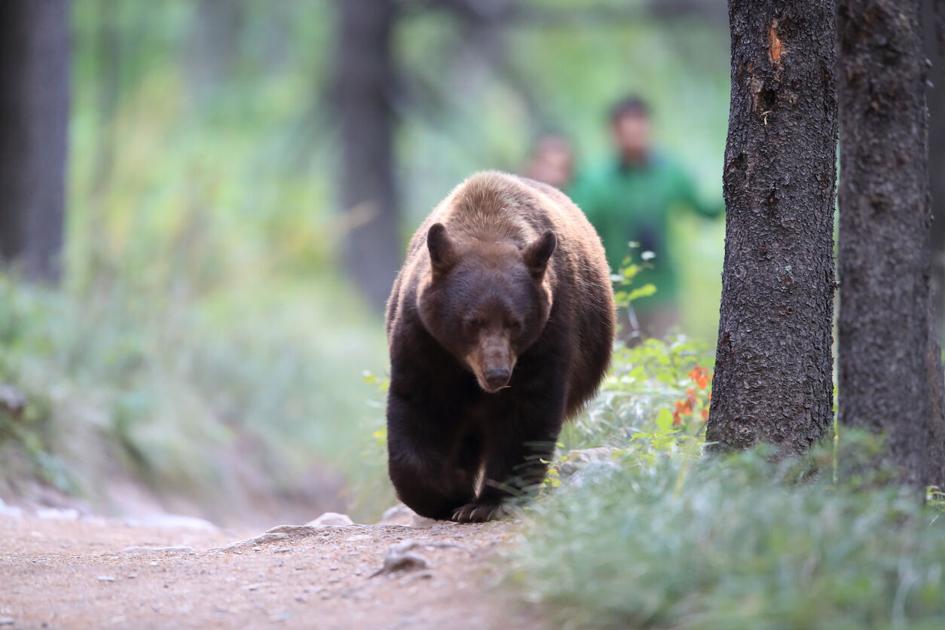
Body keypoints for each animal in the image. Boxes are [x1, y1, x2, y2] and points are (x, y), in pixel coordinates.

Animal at [384, 171, 615, 522]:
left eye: (515, 323)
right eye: (472, 322)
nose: (497, 374)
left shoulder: (548, 333)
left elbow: (525, 415)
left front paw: (485, 503)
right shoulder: (424, 338)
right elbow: (417, 405)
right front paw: (446, 491)